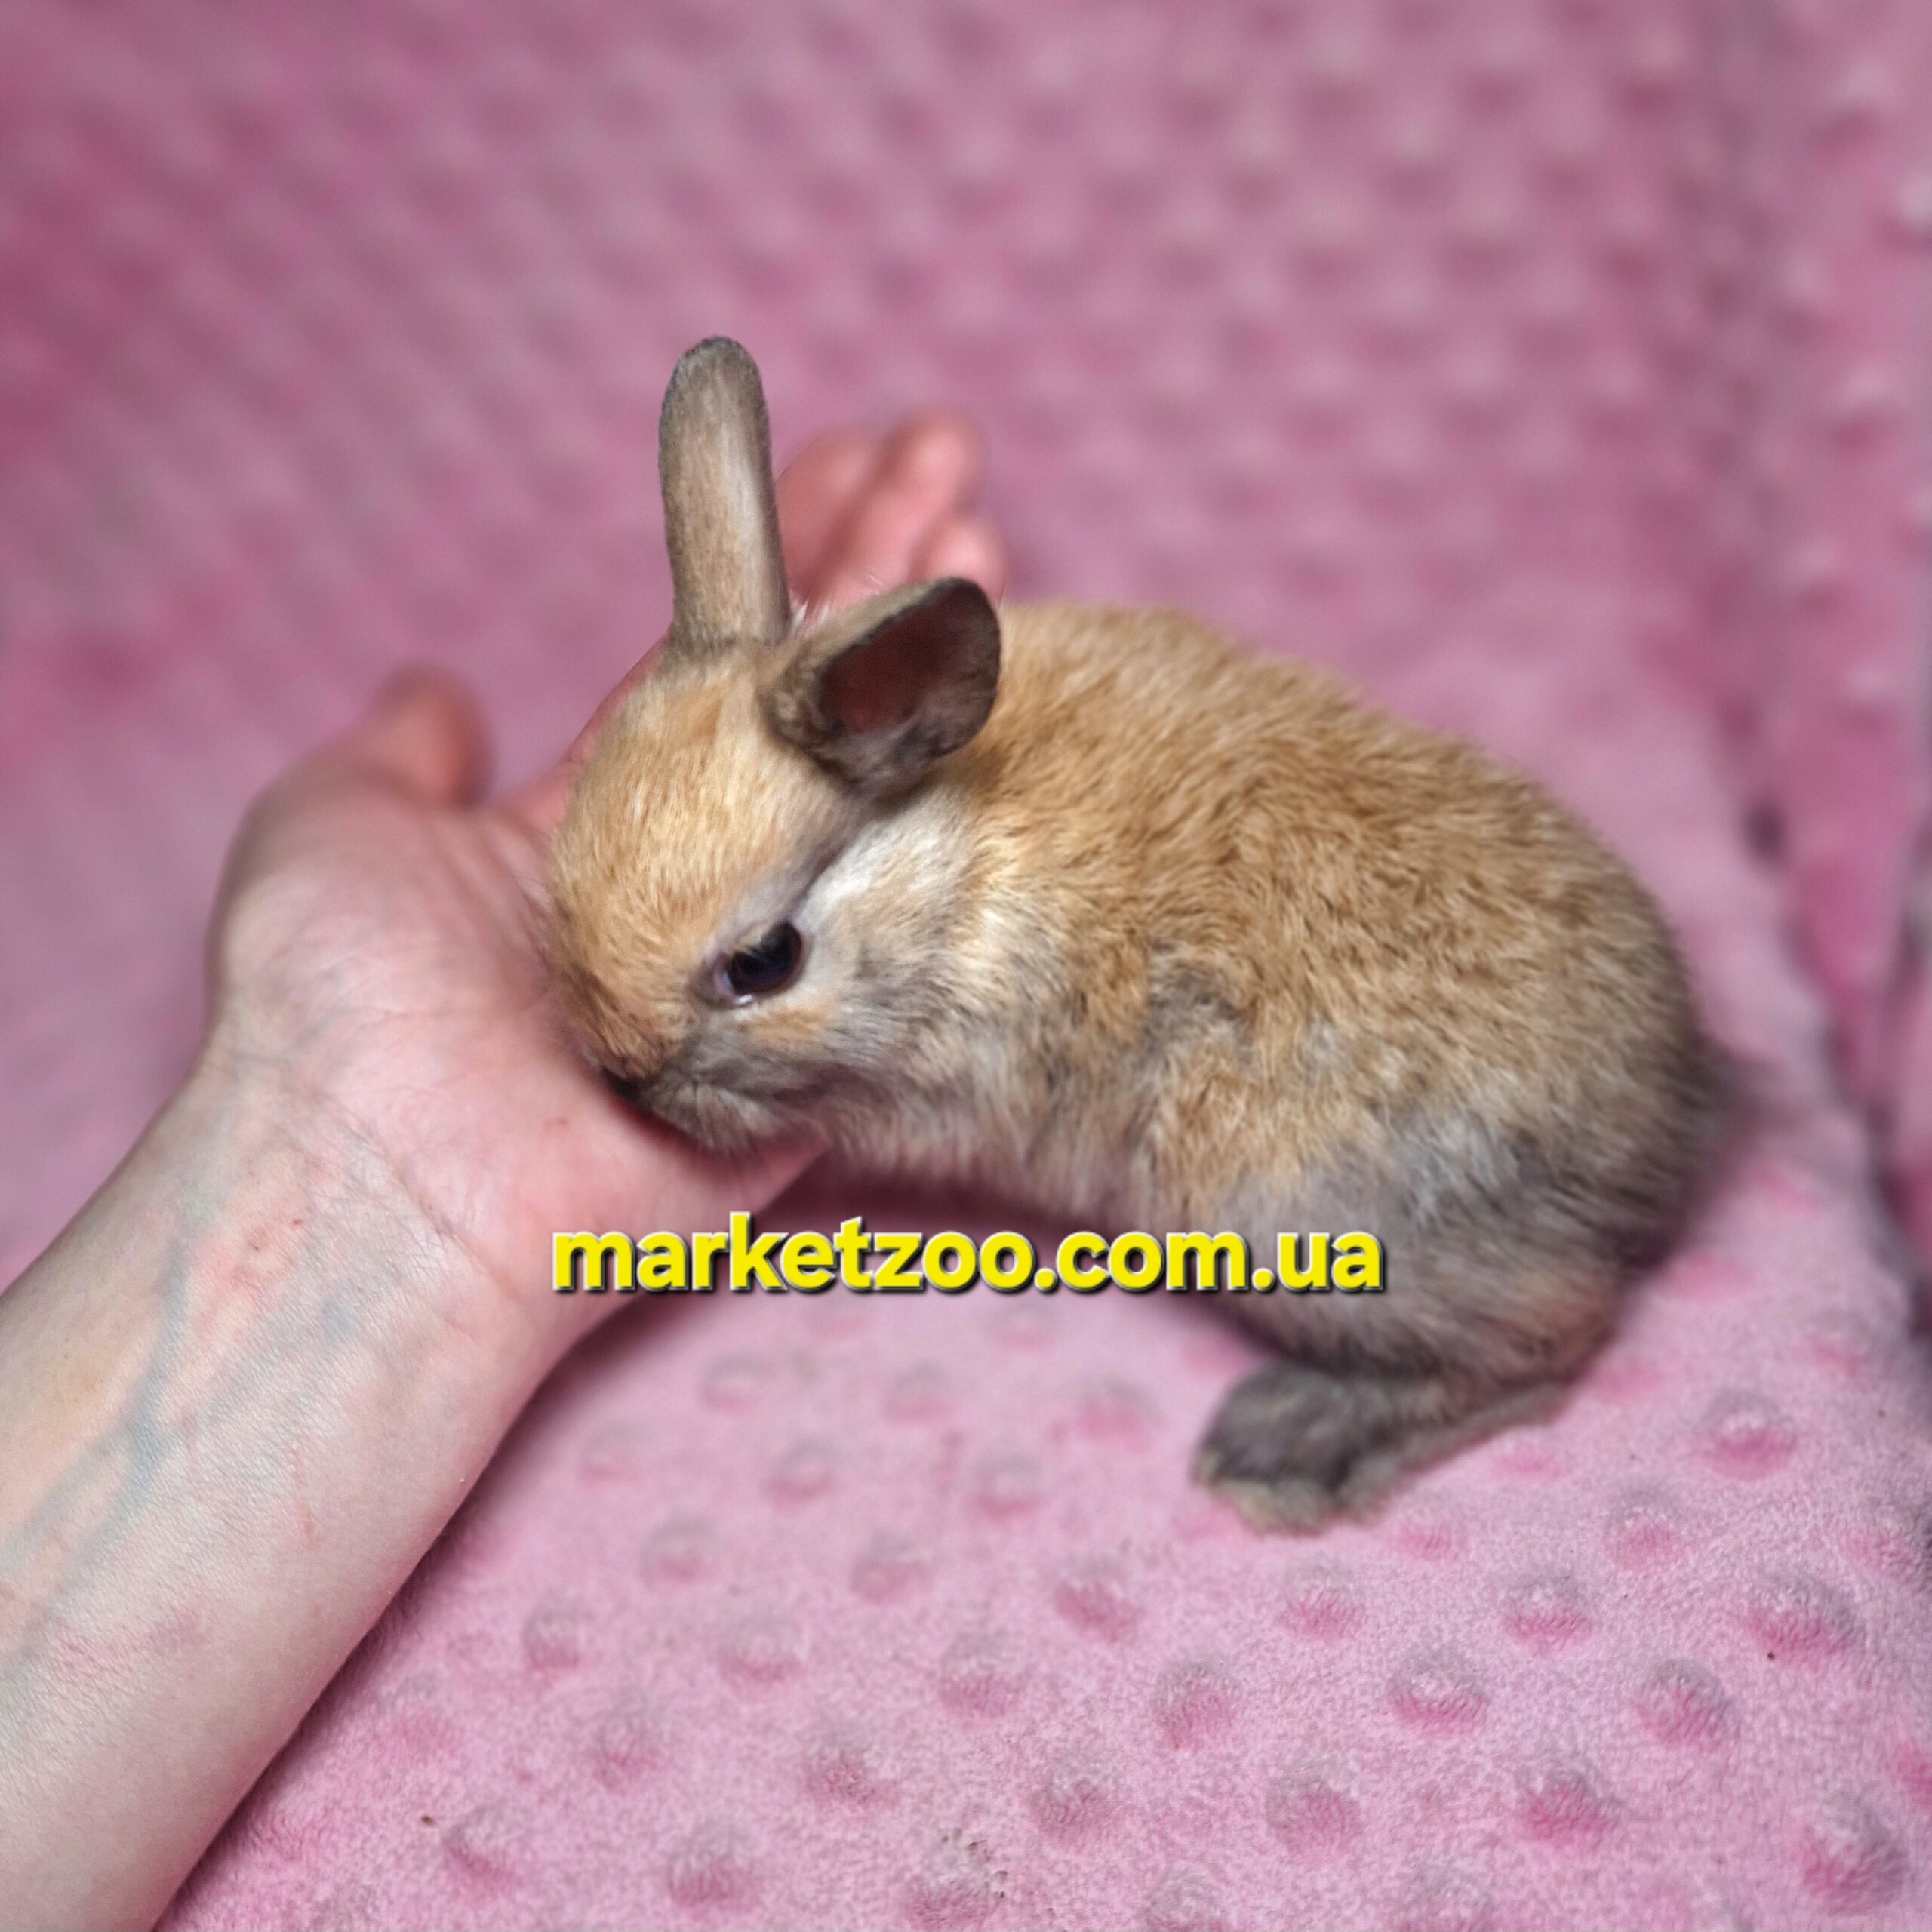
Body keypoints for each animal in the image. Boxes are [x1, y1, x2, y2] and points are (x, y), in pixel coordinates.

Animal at [547, 336, 1731, 1531]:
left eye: (763, 963)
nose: (626, 1080)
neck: (952, 868)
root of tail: (1662, 1125)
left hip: (1294, 1215)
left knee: (1552, 1332)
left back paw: (1288, 1445)